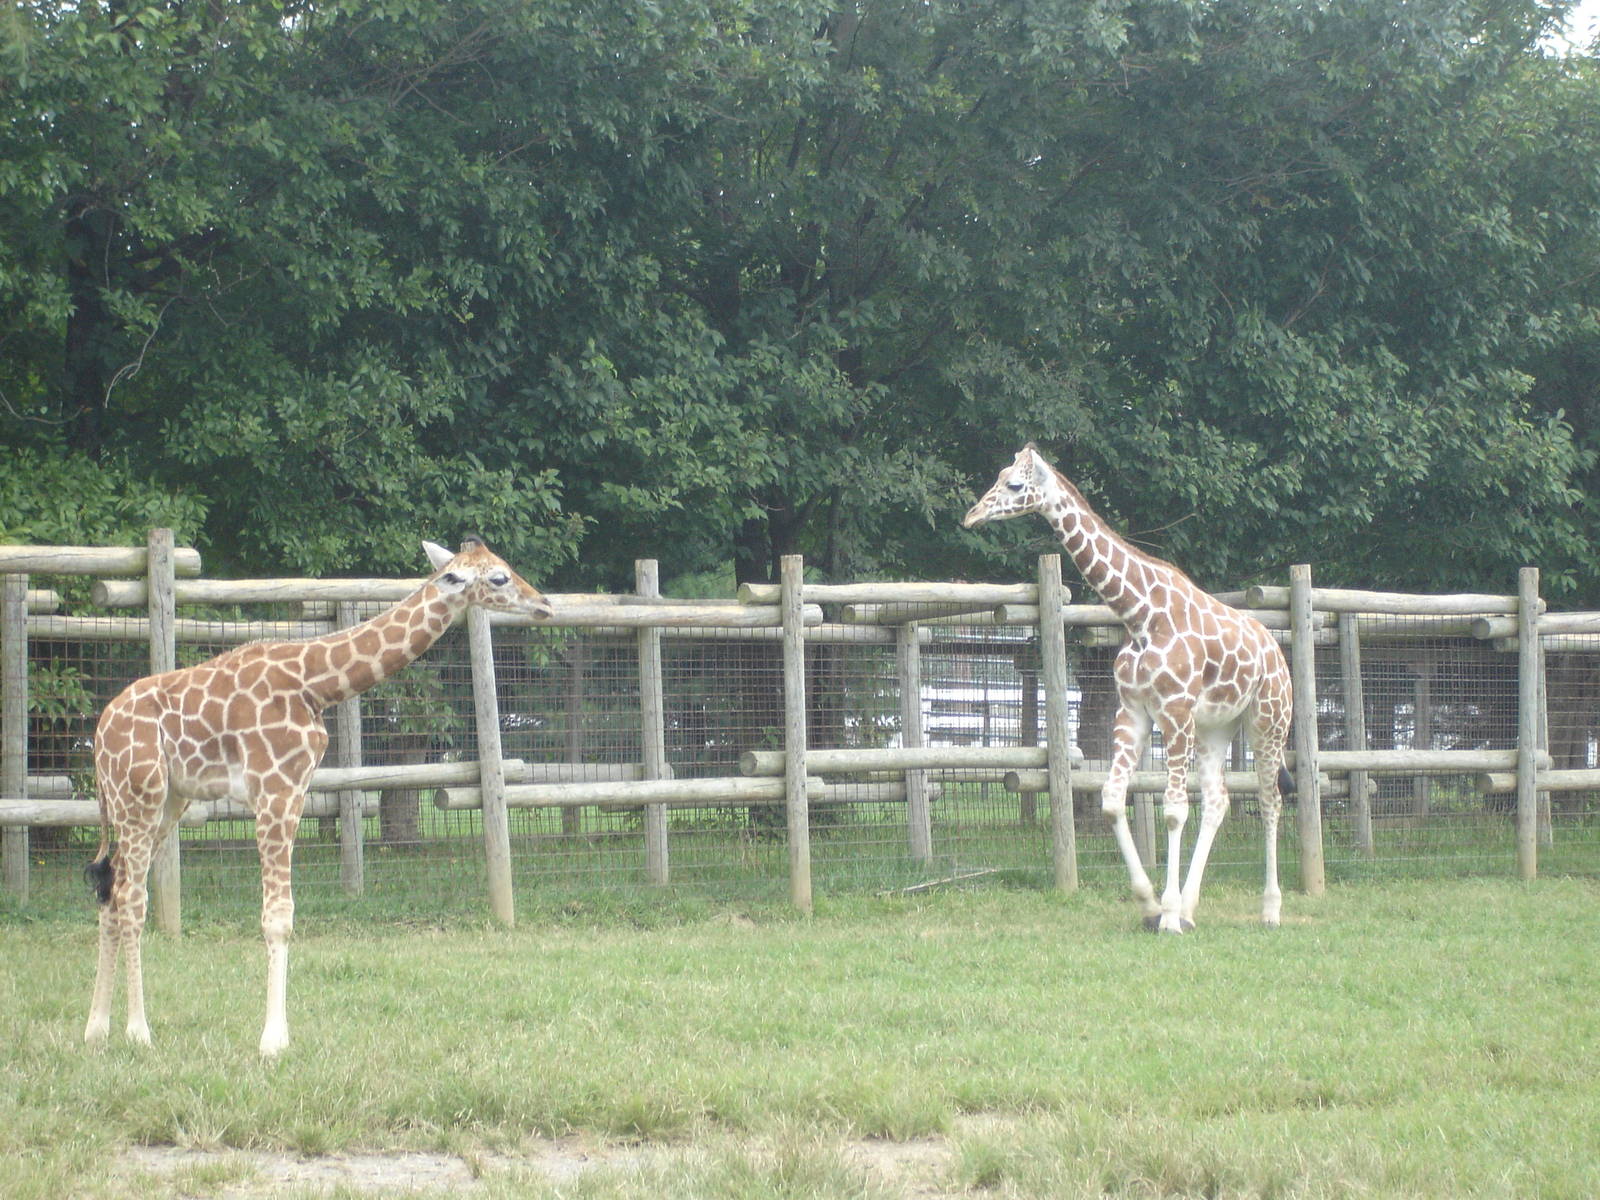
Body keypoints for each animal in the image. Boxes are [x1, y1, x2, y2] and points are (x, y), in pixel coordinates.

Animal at [83, 537, 552, 1055]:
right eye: (500, 578)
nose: (545, 604)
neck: (316, 685)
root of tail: (99, 733)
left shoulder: (296, 790)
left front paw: (281, 1033)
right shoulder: (275, 791)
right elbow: (277, 916)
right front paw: (272, 1041)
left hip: (166, 802)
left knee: (111, 889)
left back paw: (96, 1028)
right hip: (138, 796)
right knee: (131, 897)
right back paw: (138, 1031)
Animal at [963, 444, 1292, 932]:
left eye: (1015, 484)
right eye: (1000, 476)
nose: (972, 516)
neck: (1139, 614)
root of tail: (1276, 651)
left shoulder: (1174, 710)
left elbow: (1173, 810)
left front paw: (1168, 916)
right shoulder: (1133, 711)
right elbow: (1112, 800)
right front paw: (1151, 904)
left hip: (1268, 720)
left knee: (1270, 800)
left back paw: (1269, 910)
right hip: (1215, 726)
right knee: (1219, 799)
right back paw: (1192, 908)